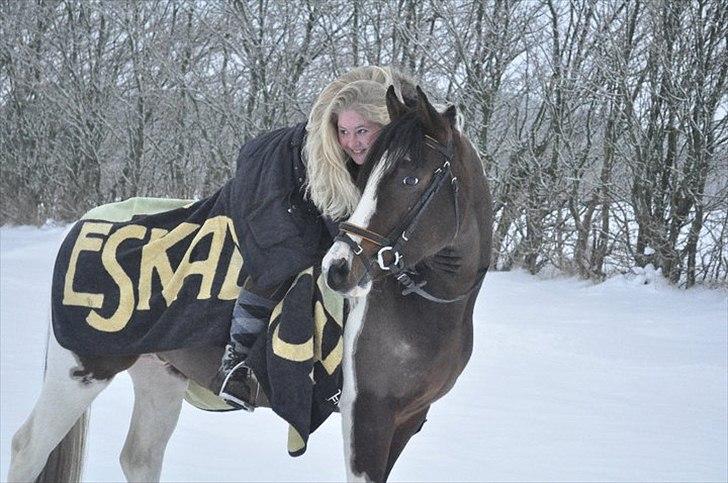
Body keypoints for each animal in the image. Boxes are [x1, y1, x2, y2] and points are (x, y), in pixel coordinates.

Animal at [5, 85, 492, 482]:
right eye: (367, 172)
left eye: (409, 178)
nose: (339, 268)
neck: (422, 310)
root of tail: (89, 221)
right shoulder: (366, 415)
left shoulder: (407, 419)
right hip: (80, 370)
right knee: (28, 449)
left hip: (158, 373)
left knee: (140, 458)